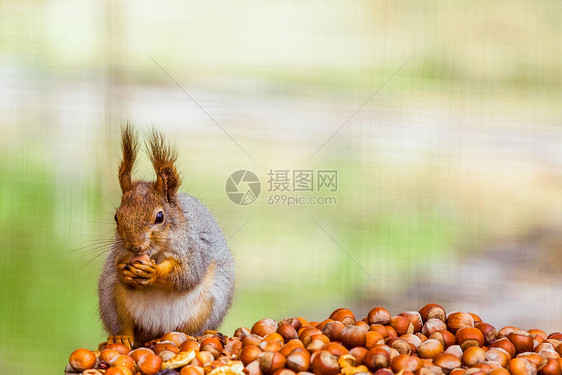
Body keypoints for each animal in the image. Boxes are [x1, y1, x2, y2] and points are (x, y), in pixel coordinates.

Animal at [98, 126, 234, 350]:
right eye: (117, 217)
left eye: (160, 217)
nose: (134, 247)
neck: (157, 253)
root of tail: (157, 333)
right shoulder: (118, 253)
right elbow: (120, 268)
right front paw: (124, 271)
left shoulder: (194, 251)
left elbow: (185, 276)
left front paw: (154, 273)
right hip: (112, 299)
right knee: (127, 326)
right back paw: (120, 338)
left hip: (211, 303)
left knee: (190, 329)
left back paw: (198, 336)